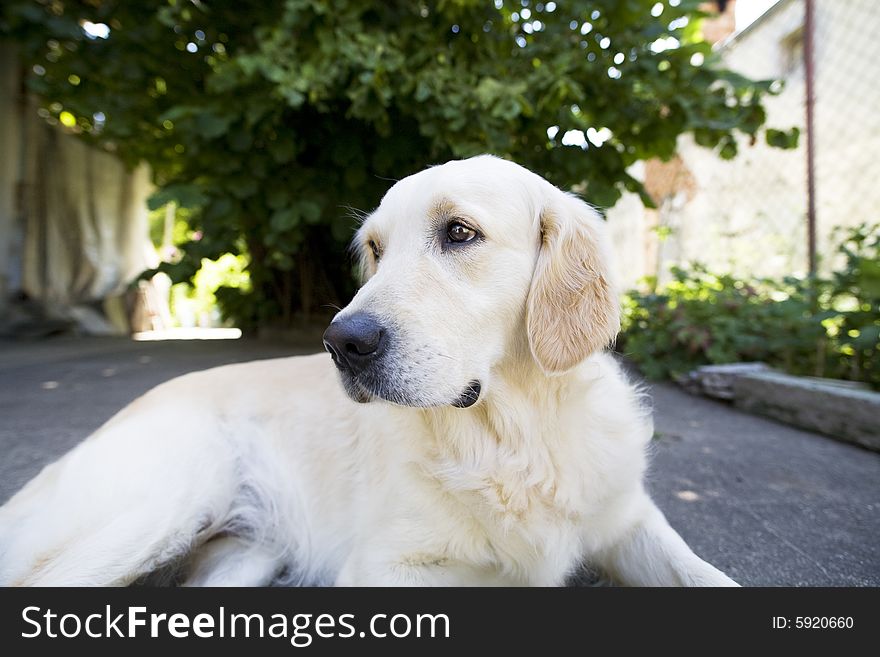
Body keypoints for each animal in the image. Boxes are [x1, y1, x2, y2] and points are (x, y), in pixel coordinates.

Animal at [0, 158, 740, 584]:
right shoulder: (384, 567)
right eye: (377, 250)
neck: (513, 434)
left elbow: (707, 576)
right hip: (169, 499)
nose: (341, 341)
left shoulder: (631, 521)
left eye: (459, 232)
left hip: (244, 557)